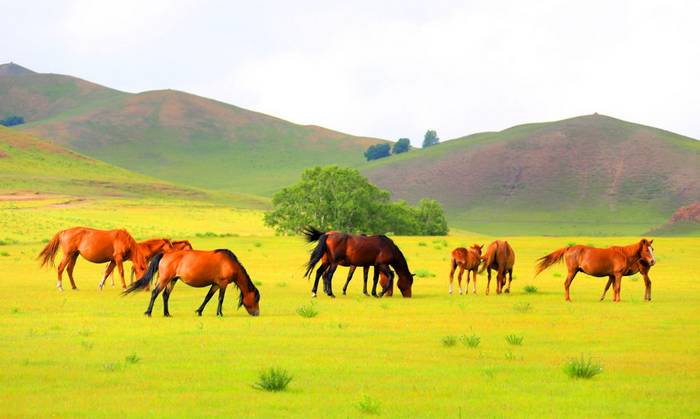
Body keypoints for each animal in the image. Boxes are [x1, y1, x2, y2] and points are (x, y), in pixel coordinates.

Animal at [123, 249, 260, 318]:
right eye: (256, 299)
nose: (257, 314)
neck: (229, 263)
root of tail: (165, 254)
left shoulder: (215, 284)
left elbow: (208, 297)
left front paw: (199, 311)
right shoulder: (223, 283)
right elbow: (220, 299)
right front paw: (219, 313)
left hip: (172, 280)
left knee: (165, 295)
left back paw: (167, 314)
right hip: (164, 279)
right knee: (155, 293)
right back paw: (148, 313)